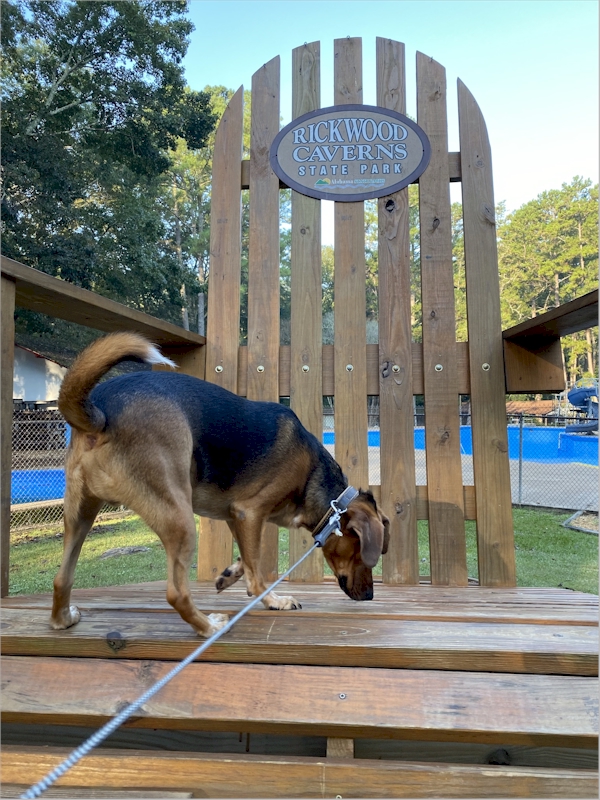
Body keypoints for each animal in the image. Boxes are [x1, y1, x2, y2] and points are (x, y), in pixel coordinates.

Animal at [52, 332, 390, 636]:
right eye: (364, 554)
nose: (371, 596)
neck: (313, 477)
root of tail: (101, 413)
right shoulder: (250, 513)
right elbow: (257, 573)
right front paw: (273, 600)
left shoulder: (234, 516)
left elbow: (247, 560)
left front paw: (229, 574)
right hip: (180, 520)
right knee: (176, 593)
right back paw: (209, 626)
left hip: (80, 515)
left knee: (61, 579)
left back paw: (63, 619)